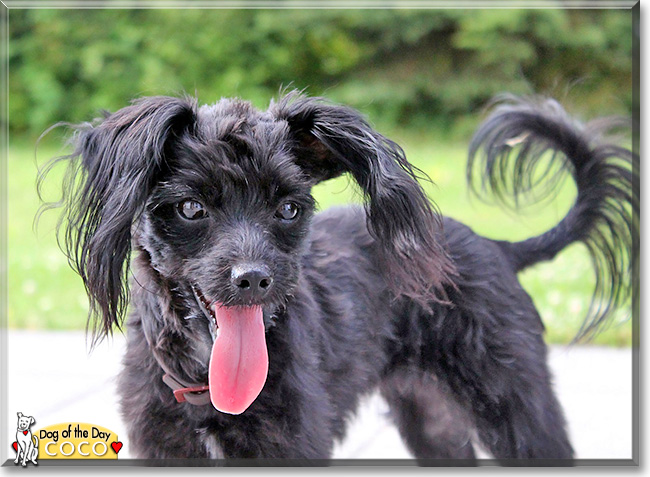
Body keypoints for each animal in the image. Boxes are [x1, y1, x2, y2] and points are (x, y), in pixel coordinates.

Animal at [41, 91, 636, 462]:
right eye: (191, 208)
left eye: (288, 208)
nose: (254, 279)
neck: (207, 382)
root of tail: (499, 247)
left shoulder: (292, 446)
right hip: (432, 420)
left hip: (517, 407)